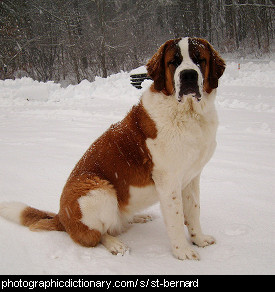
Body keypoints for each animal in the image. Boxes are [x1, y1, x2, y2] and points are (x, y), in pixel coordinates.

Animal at [0, 37, 226, 260]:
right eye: (174, 62)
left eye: (199, 60)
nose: (188, 75)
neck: (188, 113)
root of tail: (61, 217)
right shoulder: (168, 181)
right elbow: (176, 219)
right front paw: (183, 252)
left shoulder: (192, 177)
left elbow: (193, 211)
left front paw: (199, 239)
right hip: (98, 190)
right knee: (97, 235)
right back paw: (114, 244)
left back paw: (137, 217)